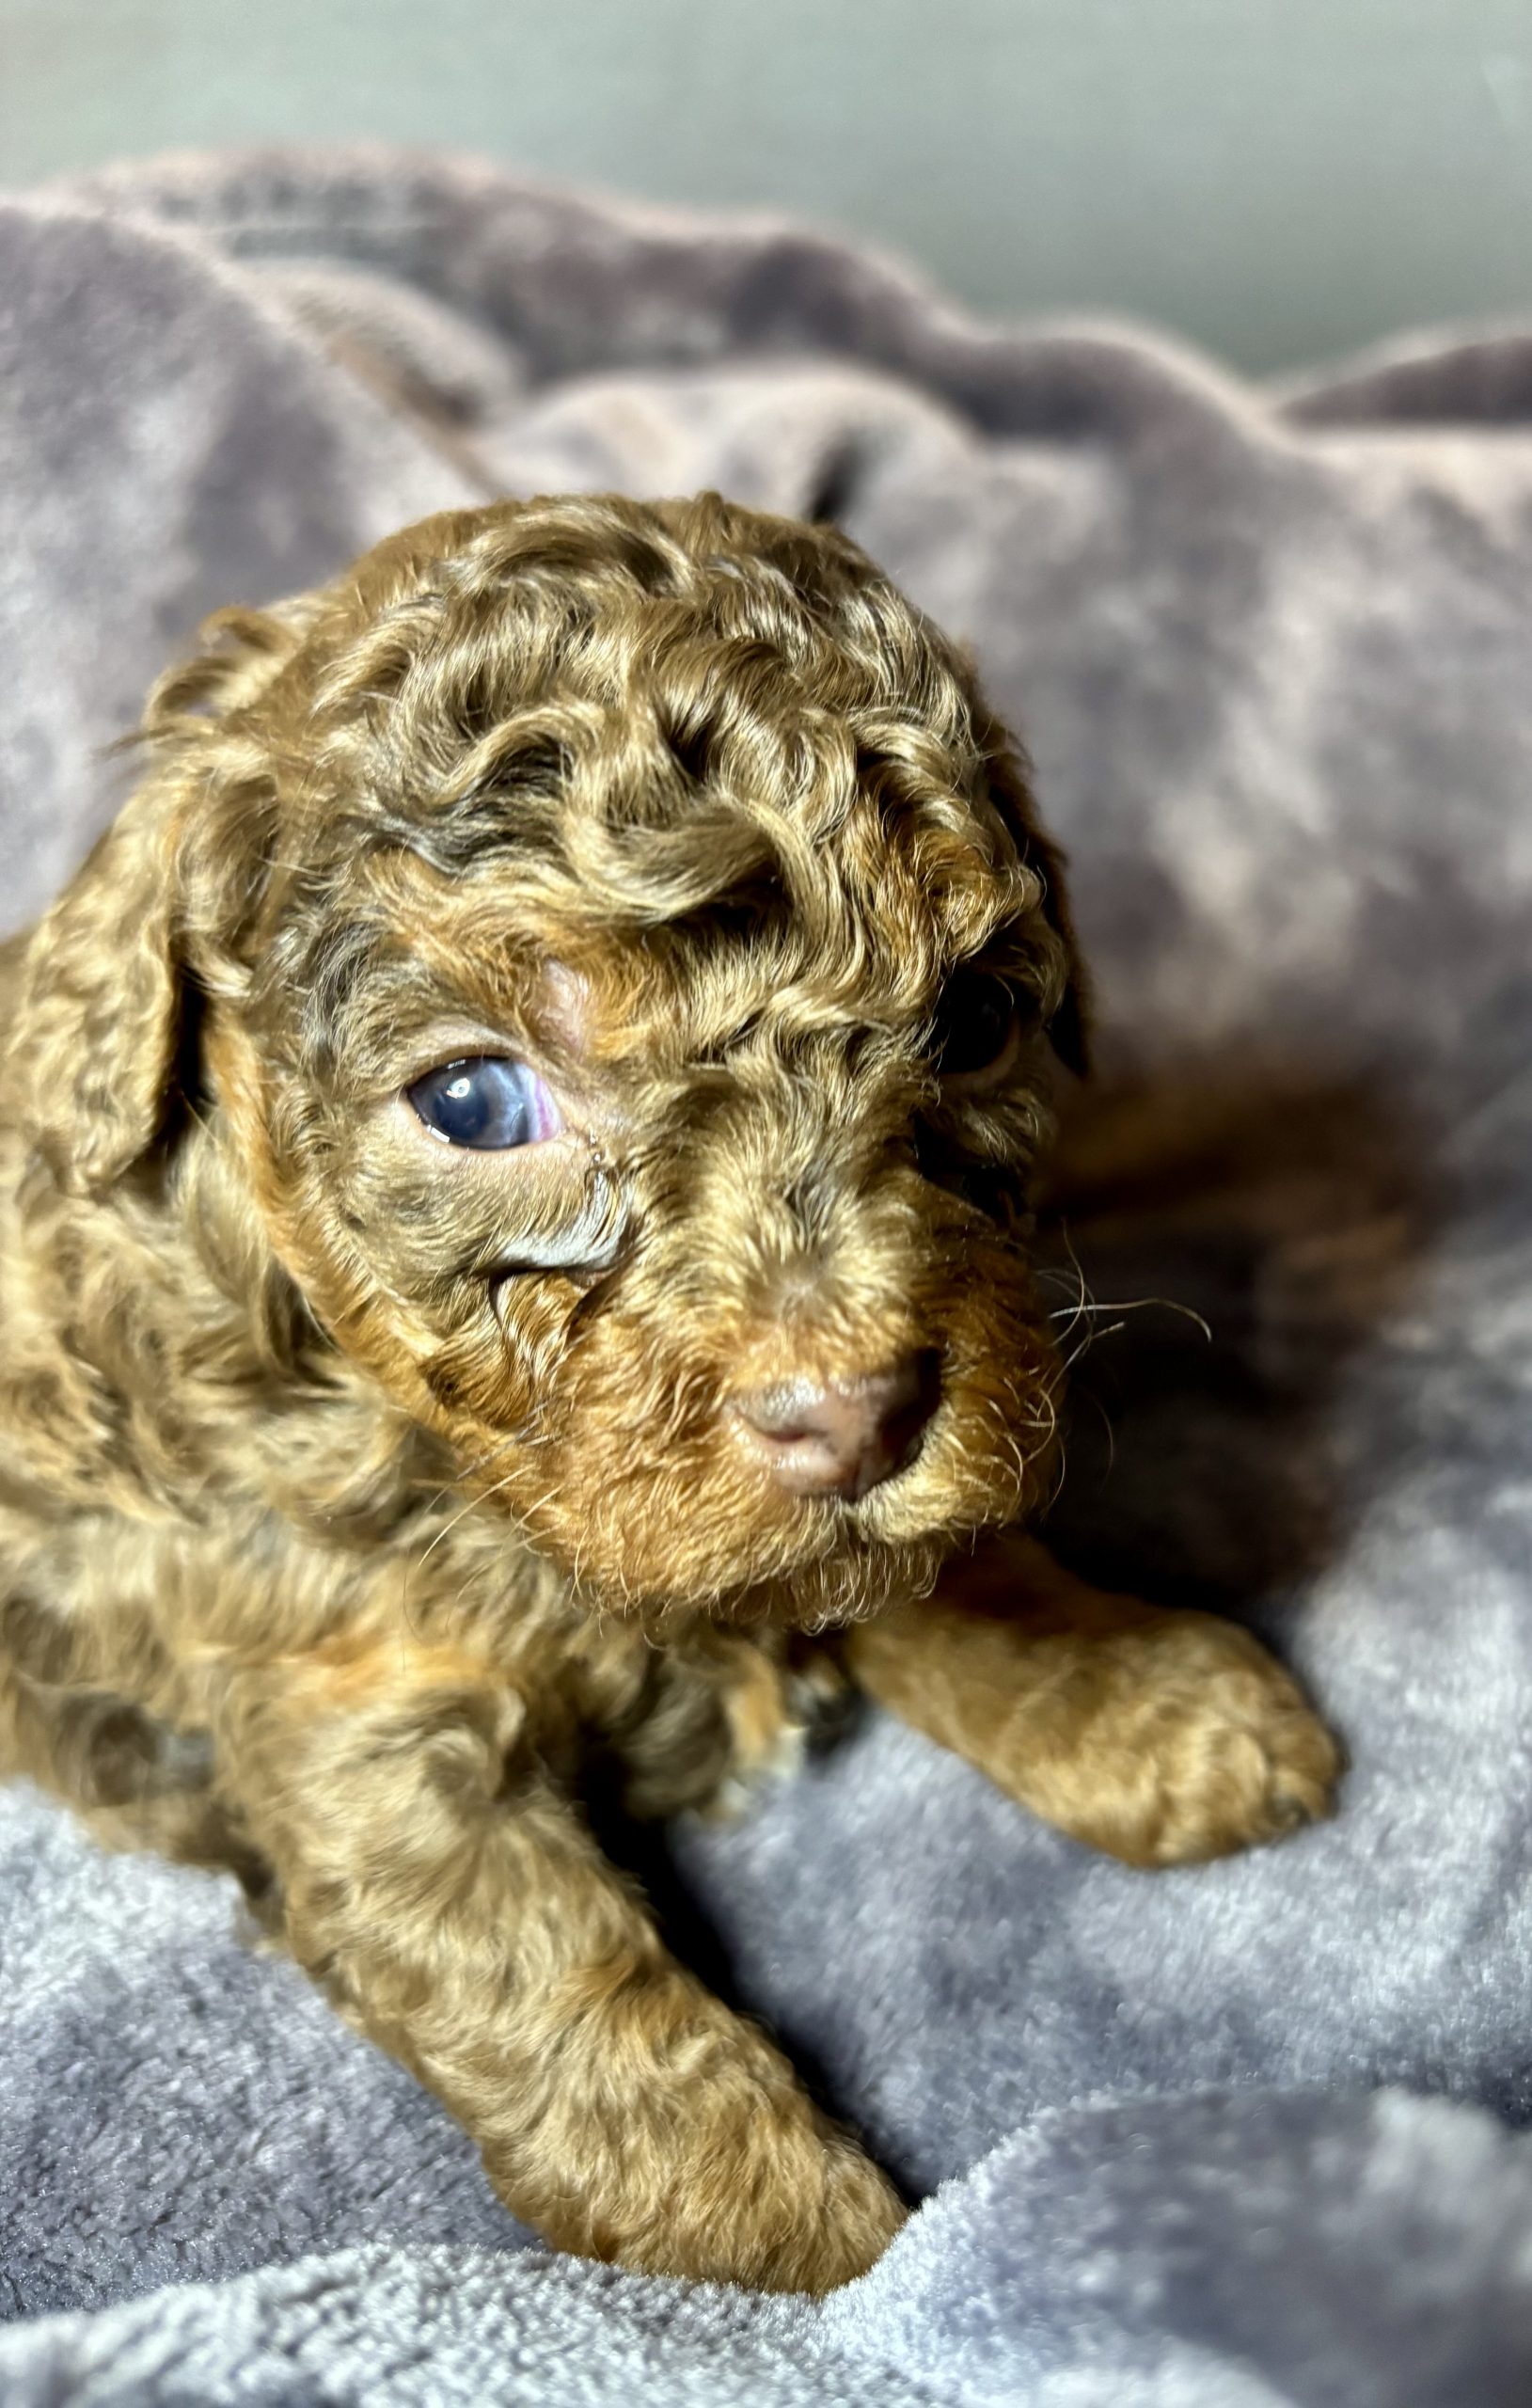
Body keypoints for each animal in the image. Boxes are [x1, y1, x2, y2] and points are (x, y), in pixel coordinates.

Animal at [0, 494, 1338, 2292]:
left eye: (975, 1018)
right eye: (473, 1102)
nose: (851, 1414)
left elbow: (947, 1567)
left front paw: (1136, 1691)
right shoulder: (352, 1703)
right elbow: (553, 1986)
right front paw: (793, 2245)